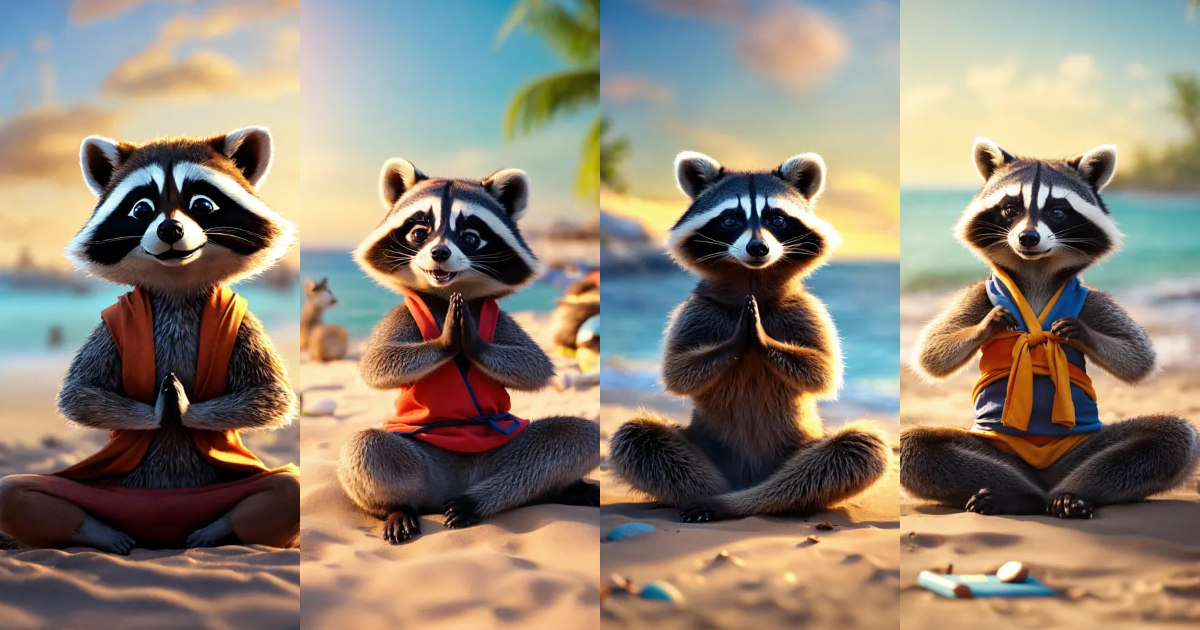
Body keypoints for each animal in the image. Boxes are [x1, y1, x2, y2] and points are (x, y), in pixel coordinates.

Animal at [0, 128, 300, 552]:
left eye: (202, 204)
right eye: (141, 209)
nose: (169, 229)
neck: (175, 287)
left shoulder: (243, 322)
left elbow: (272, 395)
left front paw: (182, 407)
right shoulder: (111, 323)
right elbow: (77, 394)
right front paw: (161, 409)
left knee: (288, 487)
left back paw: (214, 530)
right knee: (13, 492)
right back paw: (101, 532)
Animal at [336, 158, 599, 544]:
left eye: (470, 237)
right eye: (419, 232)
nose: (440, 253)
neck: (447, 295)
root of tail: (456, 487)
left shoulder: (494, 313)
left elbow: (535, 365)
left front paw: (471, 341)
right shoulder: (404, 313)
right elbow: (375, 364)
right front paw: (448, 339)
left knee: (571, 437)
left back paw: (502, 498)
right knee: (365, 447)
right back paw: (398, 508)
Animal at [608, 151, 890, 522]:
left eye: (777, 219)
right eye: (730, 220)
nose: (758, 248)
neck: (751, 279)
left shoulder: (807, 309)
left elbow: (823, 372)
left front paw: (761, 339)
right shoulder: (696, 309)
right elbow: (677, 373)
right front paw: (738, 340)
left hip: (801, 445)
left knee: (858, 447)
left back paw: (743, 502)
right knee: (638, 438)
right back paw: (710, 496)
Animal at [902, 138, 1200, 518]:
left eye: (1057, 211)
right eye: (1010, 208)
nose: (1028, 237)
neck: (1036, 271)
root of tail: (1045, 478)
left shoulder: (1089, 297)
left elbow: (1139, 357)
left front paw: (1083, 333)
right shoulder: (979, 294)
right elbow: (931, 352)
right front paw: (987, 325)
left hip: (1080, 447)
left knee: (1170, 437)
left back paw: (1072, 494)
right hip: (1000, 448)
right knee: (917, 448)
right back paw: (1015, 495)